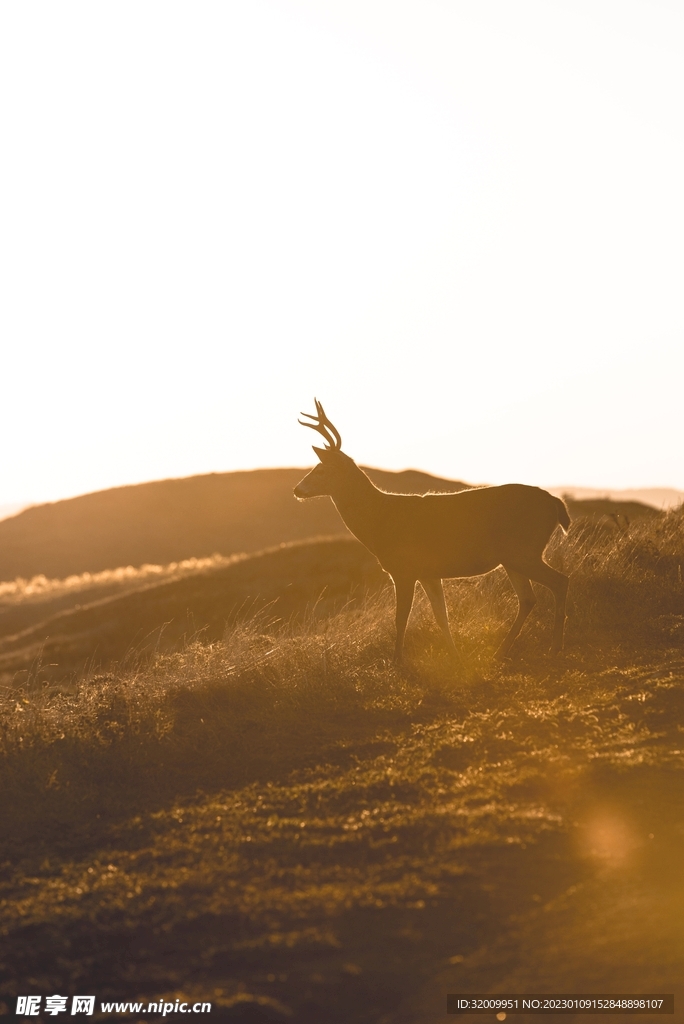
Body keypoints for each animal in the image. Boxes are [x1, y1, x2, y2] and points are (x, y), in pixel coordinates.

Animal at [294, 400, 570, 663]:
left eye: (321, 470)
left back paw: (555, 647)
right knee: (528, 598)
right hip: (513, 558)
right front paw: (455, 657)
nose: (297, 489)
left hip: (523, 551)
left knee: (560, 581)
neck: (379, 519)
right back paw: (500, 652)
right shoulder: (429, 573)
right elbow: (441, 616)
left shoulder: (404, 569)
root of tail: (555, 503)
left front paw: (397, 661)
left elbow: (401, 618)